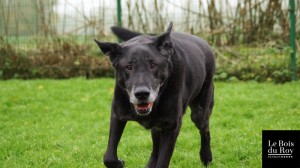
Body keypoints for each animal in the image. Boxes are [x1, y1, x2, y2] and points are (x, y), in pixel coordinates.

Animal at [95, 22, 214, 167]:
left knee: (205, 130)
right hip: (157, 125)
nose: (142, 94)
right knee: (156, 146)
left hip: (200, 112)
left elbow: (163, 161)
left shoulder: (172, 126)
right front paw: (119, 163)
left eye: (153, 64)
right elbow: (109, 157)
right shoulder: (117, 115)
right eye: (128, 66)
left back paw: (206, 157)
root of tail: (204, 43)